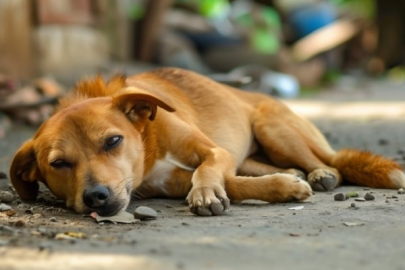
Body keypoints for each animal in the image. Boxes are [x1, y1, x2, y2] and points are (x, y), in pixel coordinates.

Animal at [9, 68, 404, 216]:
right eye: (59, 164)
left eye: (113, 141)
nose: (96, 197)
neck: (149, 143)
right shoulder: (168, 183)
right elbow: (233, 183)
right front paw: (283, 187)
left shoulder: (214, 151)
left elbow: (208, 170)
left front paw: (205, 193)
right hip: (256, 150)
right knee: (262, 166)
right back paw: (293, 174)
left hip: (274, 128)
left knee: (330, 161)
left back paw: (320, 173)